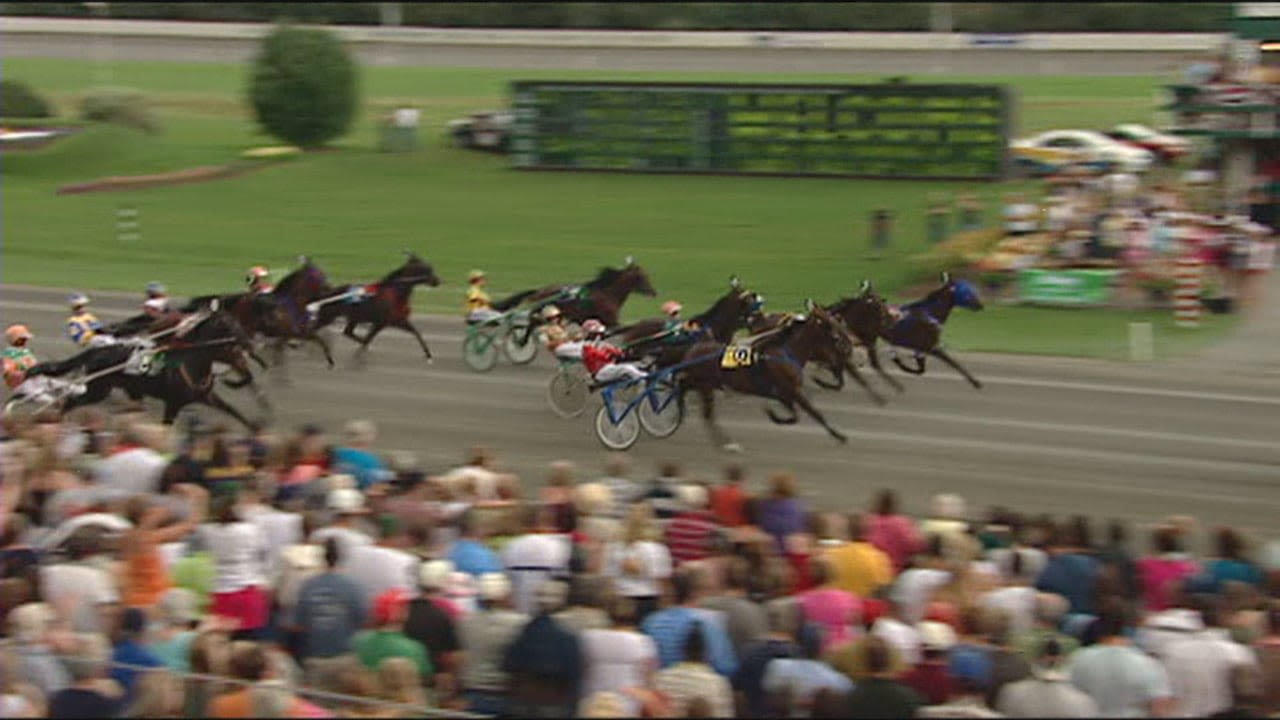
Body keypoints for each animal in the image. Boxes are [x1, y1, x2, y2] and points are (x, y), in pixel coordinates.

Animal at [311, 252, 445, 361]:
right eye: (427, 269)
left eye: (431, 268)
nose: (437, 281)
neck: (395, 292)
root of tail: (330, 292)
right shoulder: (381, 322)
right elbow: (368, 339)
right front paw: (361, 353)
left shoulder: (397, 320)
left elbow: (416, 333)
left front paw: (428, 355)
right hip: (331, 316)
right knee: (319, 328)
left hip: (353, 317)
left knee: (347, 332)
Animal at [491, 256, 660, 326]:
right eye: (643, 277)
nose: (654, 292)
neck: (607, 294)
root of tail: (539, 291)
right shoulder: (611, 321)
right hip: (543, 311)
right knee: (532, 322)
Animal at [675, 299, 855, 450]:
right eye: (829, 323)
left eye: (836, 320)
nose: (848, 344)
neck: (787, 351)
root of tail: (694, 349)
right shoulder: (792, 391)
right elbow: (815, 414)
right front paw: (840, 436)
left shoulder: (785, 394)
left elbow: (795, 415)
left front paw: (775, 416)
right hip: (704, 385)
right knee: (703, 410)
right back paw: (725, 442)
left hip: (704, 384)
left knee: (693, 400)